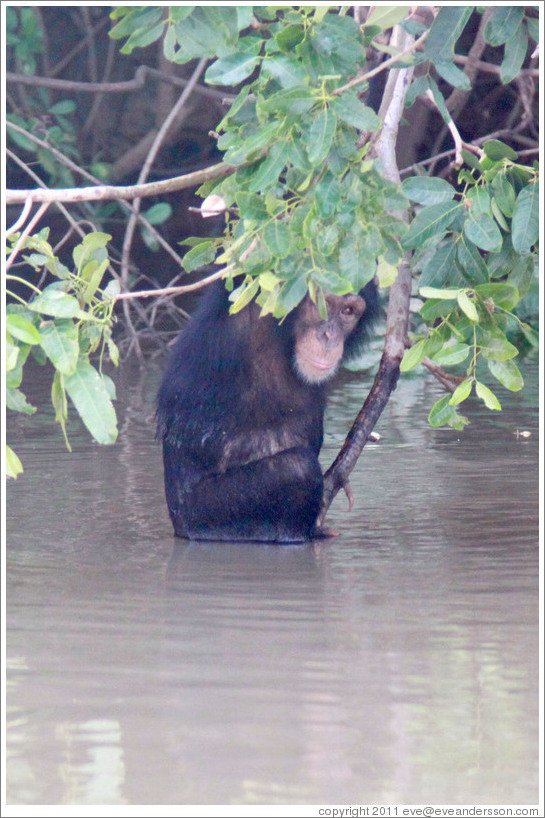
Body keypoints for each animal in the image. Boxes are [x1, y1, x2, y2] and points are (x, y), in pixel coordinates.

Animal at [156, 276, 378, 540]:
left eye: (348, 311)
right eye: (320, 303)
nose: (328, 335)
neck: (283, 339)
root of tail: (177, 525)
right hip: (203, 515)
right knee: (297, 468)